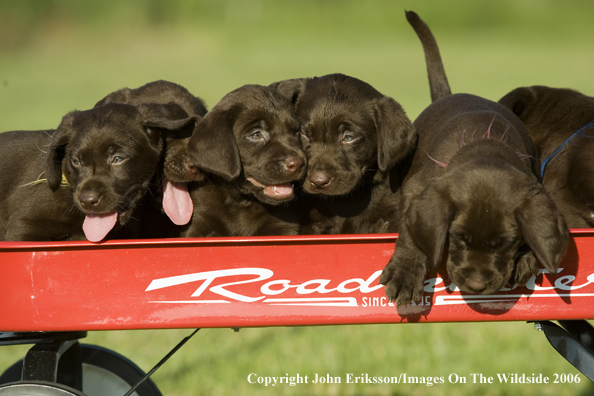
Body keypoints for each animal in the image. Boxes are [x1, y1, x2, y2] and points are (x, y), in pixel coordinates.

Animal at [178, 83, 302, 235]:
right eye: (256, 135)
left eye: (295, 132)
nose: (298, 164)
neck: (239, 201)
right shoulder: (198, 222)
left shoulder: (283, 227)